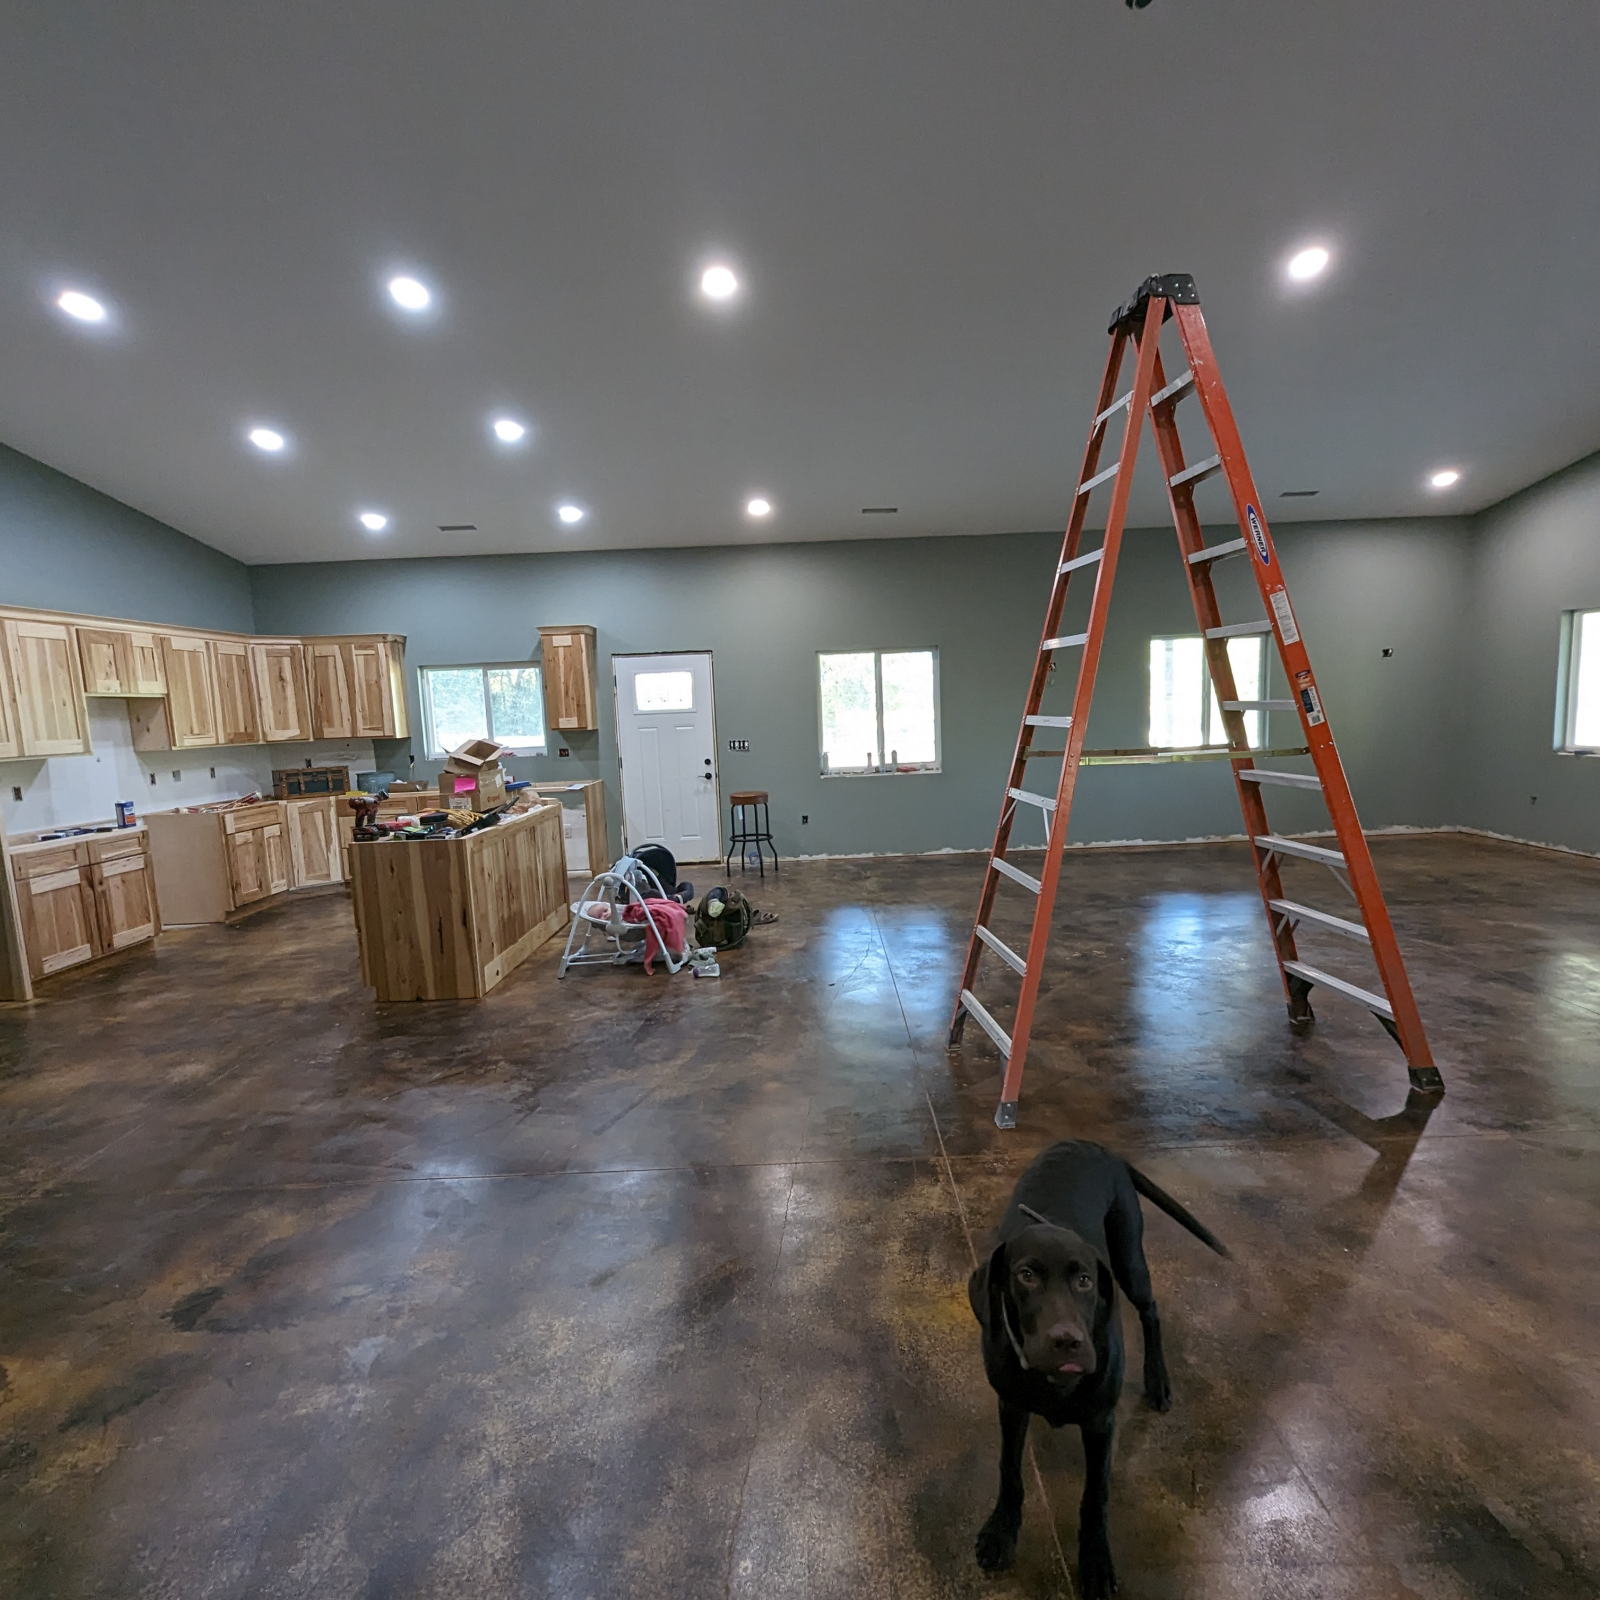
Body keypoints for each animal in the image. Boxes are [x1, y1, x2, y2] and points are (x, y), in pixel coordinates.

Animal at [966, 1145, 1228, 1593]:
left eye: (1085, 1281)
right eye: (1026, 1275)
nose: (1068, 1342)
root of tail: (1098, 1148)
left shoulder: (1101, 1422)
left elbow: (1095, 1496)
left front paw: (1095, 1558)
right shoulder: (1011, 1407)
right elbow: (1009, 1472)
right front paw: (1002, 1531)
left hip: (1130, 1258)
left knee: (1150, 1311)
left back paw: (1158, 1379)